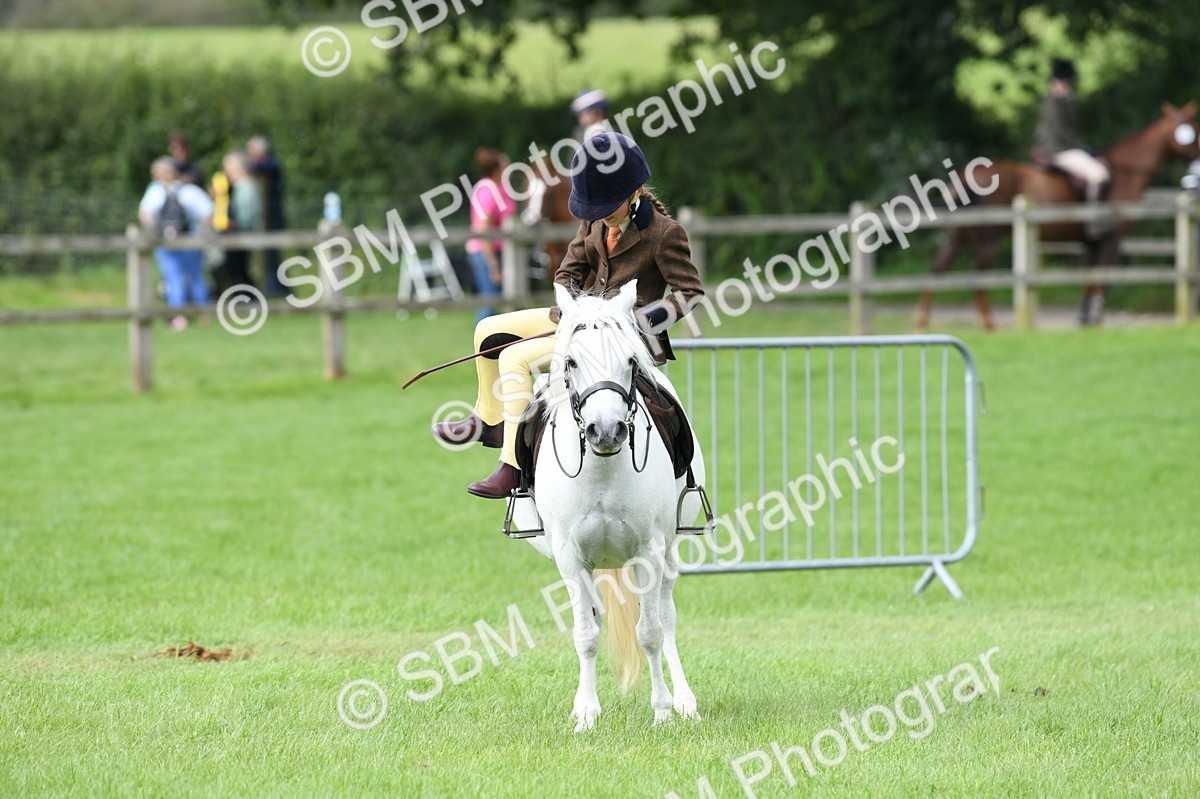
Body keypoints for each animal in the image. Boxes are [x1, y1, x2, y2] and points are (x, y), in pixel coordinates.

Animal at [511, 280, 706, 732]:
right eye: (571, 362)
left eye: (631, 360)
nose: (606, 430)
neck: (602, 468)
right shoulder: (569, 556)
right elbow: (586, 635)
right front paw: (585, 713)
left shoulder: (649, 552)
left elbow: (650, 632)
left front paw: (662, 710)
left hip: (669, 553)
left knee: (666, 617)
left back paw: (685, 700)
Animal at [916, 102, 1200, 329]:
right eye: (1193, 134)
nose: (1196, 167)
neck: (1125, 175)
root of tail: (964, 176)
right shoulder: (1110, 240)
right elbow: (1101, 278)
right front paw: (1096, 319)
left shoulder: (1090, 244)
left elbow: (1089, 277)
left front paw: (1084, 319)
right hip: (988, 239)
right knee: (976, 277)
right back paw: (988, 322)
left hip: (958, 237)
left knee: (936, 269)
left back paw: (922, 319)